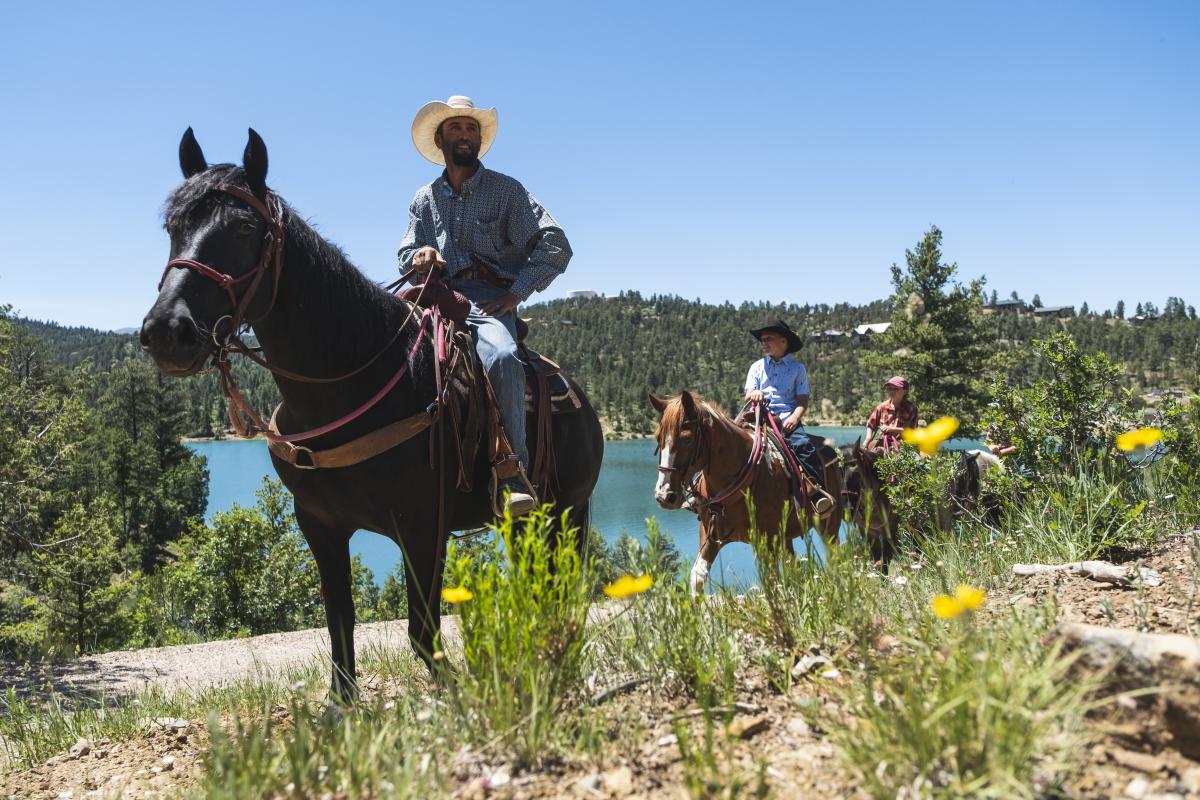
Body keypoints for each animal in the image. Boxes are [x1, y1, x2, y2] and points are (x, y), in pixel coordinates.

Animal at [141, 128, 604, 705]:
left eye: (245, 227)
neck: (350, 383)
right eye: (173, 228)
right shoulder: (318, 524)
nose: (167, 331)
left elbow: (422, 629)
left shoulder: (423, 526)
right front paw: (342, 703)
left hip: (569, 512)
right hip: (529, 524)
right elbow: (340, 619)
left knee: (567, 588)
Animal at [648, 391, 844, 592]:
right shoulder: (709, 536)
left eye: (687, 439)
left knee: (834, 558)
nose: (664, 495)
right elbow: (698, 577)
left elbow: (771, 583)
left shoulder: (767, 539)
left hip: (829, 525)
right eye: (657, 437)